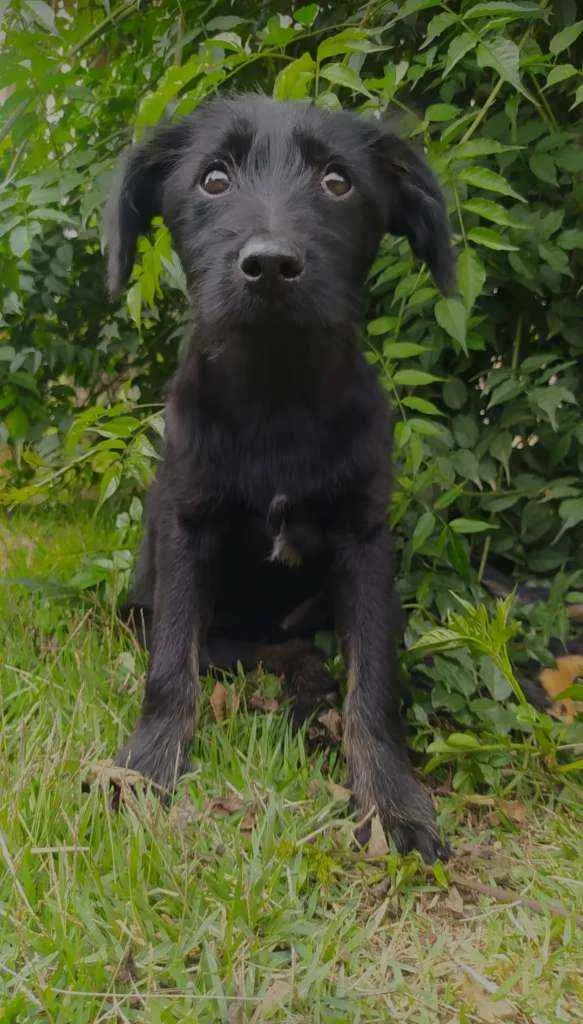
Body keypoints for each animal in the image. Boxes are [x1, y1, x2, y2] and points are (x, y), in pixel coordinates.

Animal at [108, 96, 454, 864]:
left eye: (337, 182)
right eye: (213, 180)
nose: (269, 266)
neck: (275, 398)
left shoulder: (364, 545)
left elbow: (373, 685)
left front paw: (391, 800)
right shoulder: (186, 531)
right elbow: (171, 667)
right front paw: (144, 769)